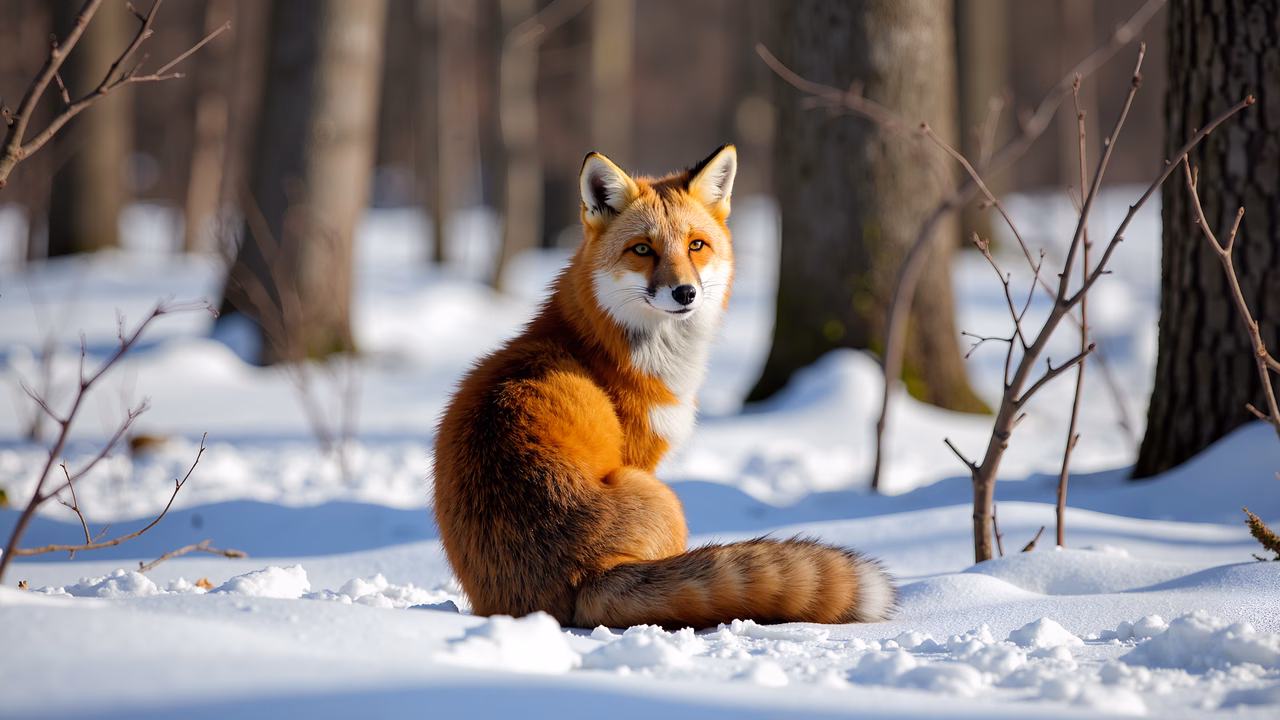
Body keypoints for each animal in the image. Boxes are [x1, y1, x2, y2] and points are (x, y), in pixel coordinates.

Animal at [432, 144, 895, 629]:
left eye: (696, 245)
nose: (685, 293)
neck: (605, 346)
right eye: (643, 249)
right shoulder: (645, 455)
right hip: (664, 498)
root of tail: (582, 580)